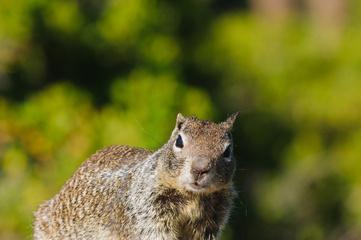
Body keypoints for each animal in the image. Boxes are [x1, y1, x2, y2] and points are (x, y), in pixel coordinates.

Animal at [33, 113, 236, 240]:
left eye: (228, 151)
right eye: (179, 141)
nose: (200, 169)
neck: (192, 197)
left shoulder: (210, 223)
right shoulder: (146, 214)